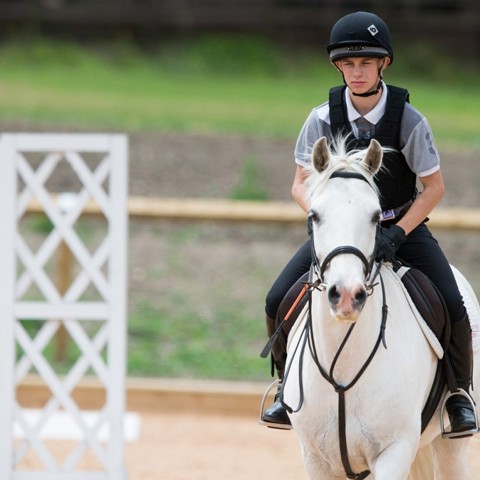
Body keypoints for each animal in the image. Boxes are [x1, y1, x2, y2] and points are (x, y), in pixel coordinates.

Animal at [282, 137, 480, 478]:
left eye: (376, 216)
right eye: (314, 215)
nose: (347, 295)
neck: (342, 366)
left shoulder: (394, 451)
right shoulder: (316, 458)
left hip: (449, 446)